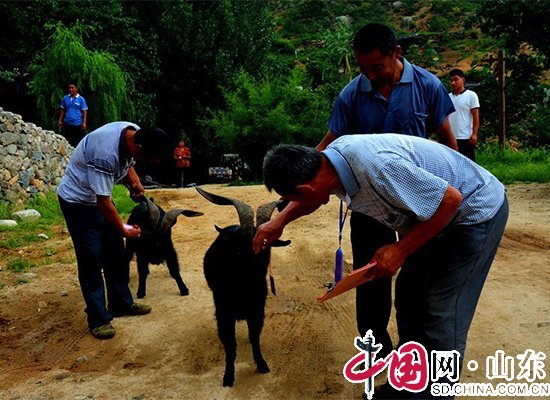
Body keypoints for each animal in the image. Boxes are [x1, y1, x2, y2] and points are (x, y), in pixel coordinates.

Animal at [198, 188, 294, 388]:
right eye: (240, 248)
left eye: (266, 245)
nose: (255, 265)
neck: (243, 286)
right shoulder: (224, 314)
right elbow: (230, 345)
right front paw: (228, 375)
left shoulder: (257, 311)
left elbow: (254, 338)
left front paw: (261, 364)